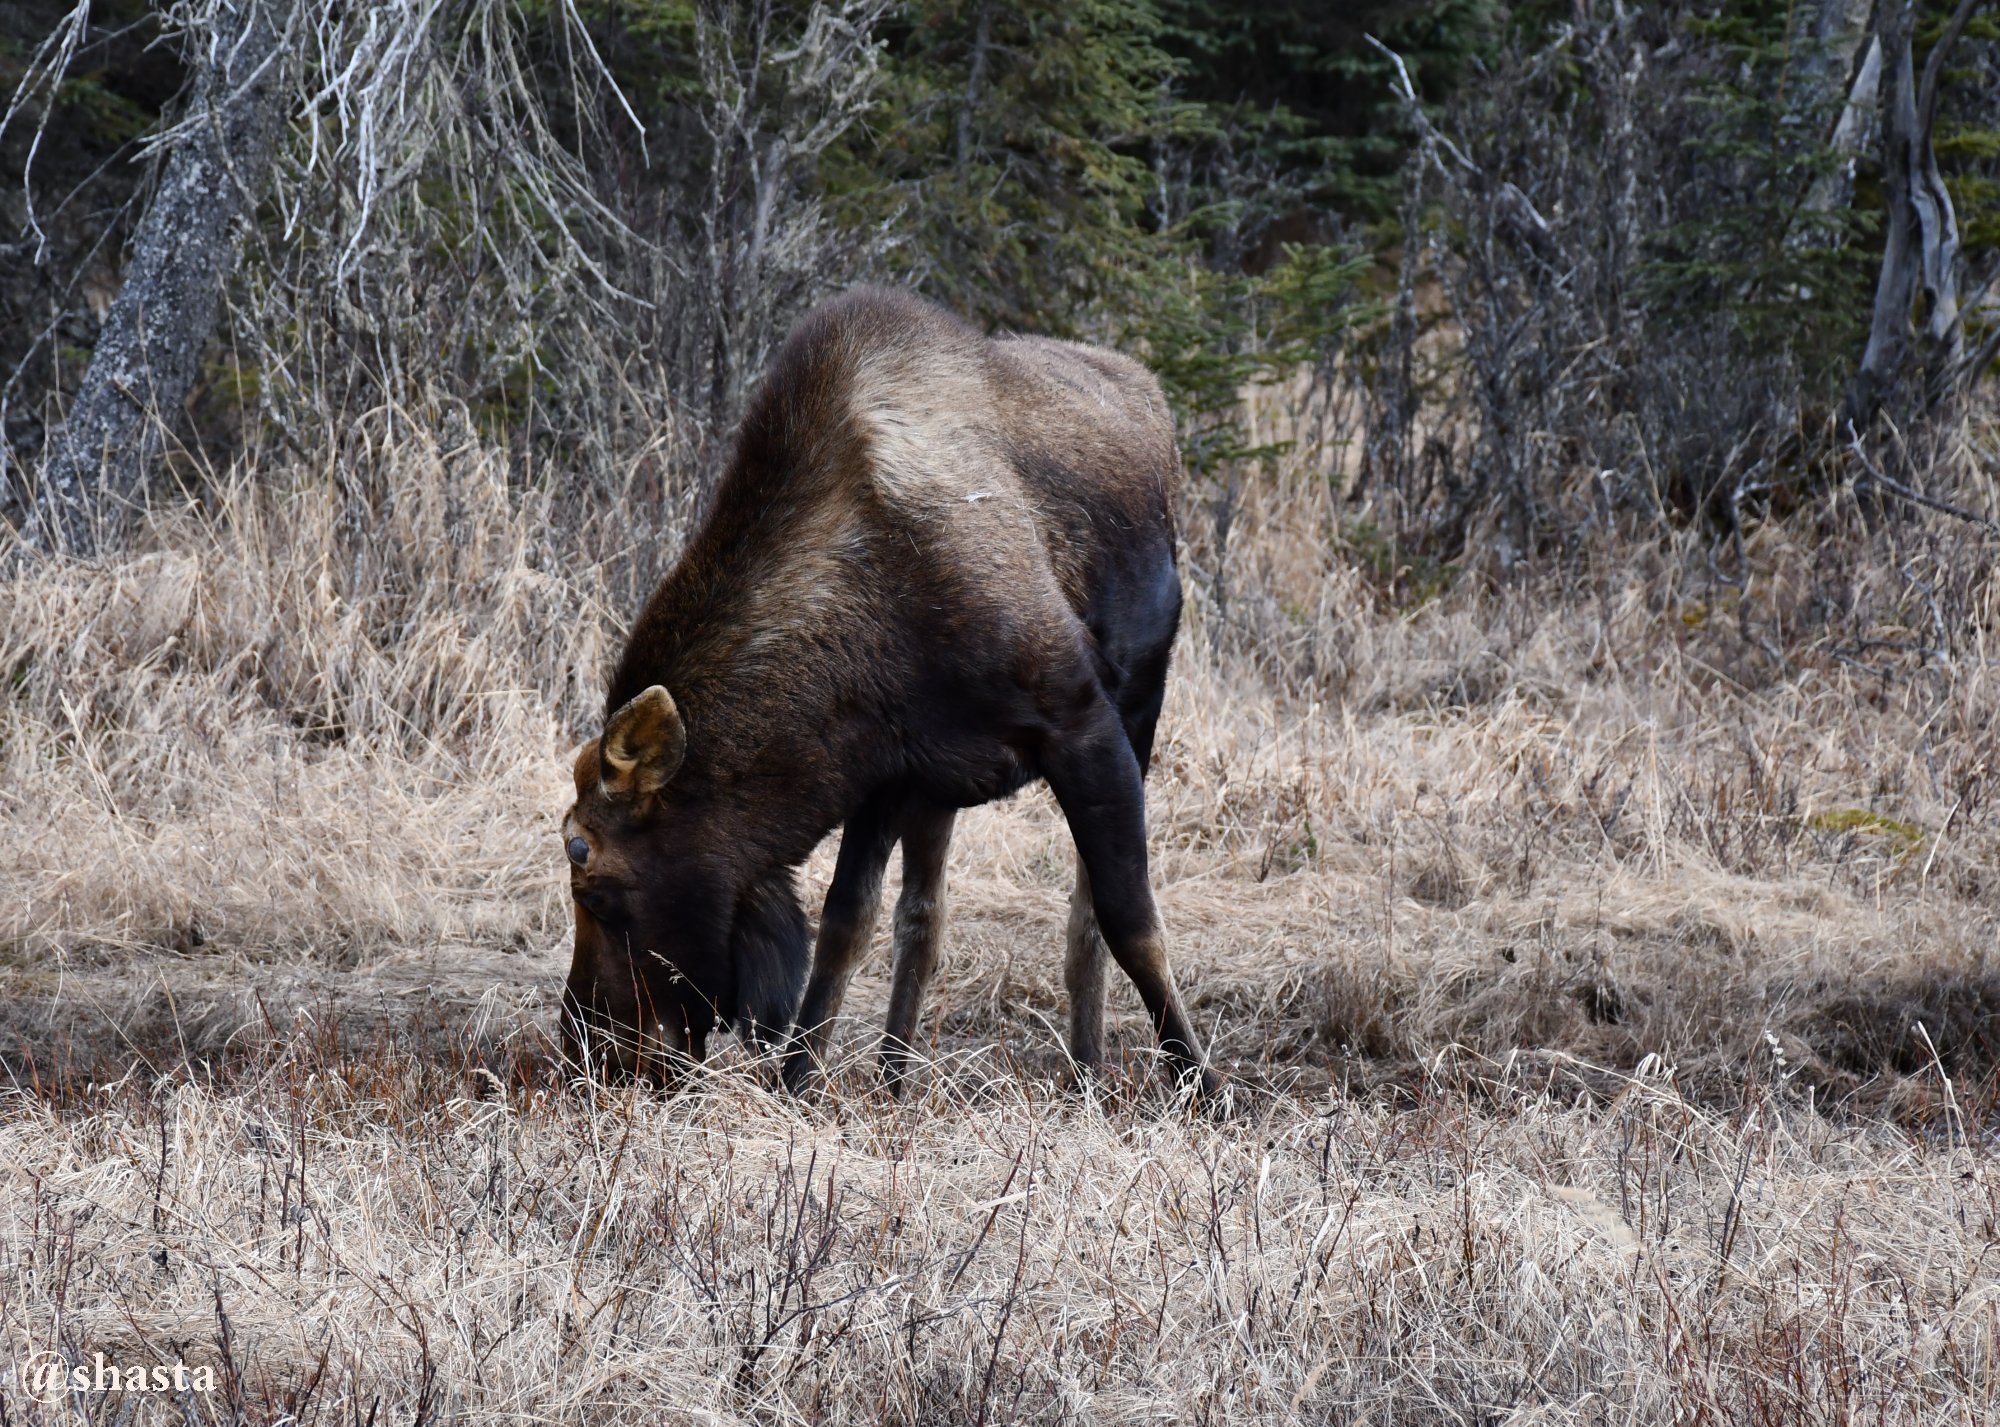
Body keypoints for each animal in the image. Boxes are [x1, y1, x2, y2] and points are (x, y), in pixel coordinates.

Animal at [564, 283, 1216, 1095]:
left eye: (583, 856)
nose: (583, 1043)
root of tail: (1151, 400)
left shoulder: (1081, 723)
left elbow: (1130, 920)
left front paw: (1204, 1088)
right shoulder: (886, 766)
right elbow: (848, 925)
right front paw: (798, 1083)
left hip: (1140, 702)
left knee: (1081, 913)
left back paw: (1086, 1065)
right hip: (944, 784)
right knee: (923, 916)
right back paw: (898, 1074)